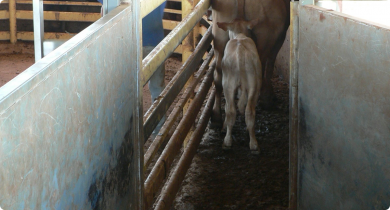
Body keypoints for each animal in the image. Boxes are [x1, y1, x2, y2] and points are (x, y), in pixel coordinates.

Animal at [216, 19, 262, 154]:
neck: (240, 35)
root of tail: (240, 50)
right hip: (253, 85)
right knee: (249, 111)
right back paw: (253, 144)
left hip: (228, 84)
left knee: (231, 111)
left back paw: (227, 141)